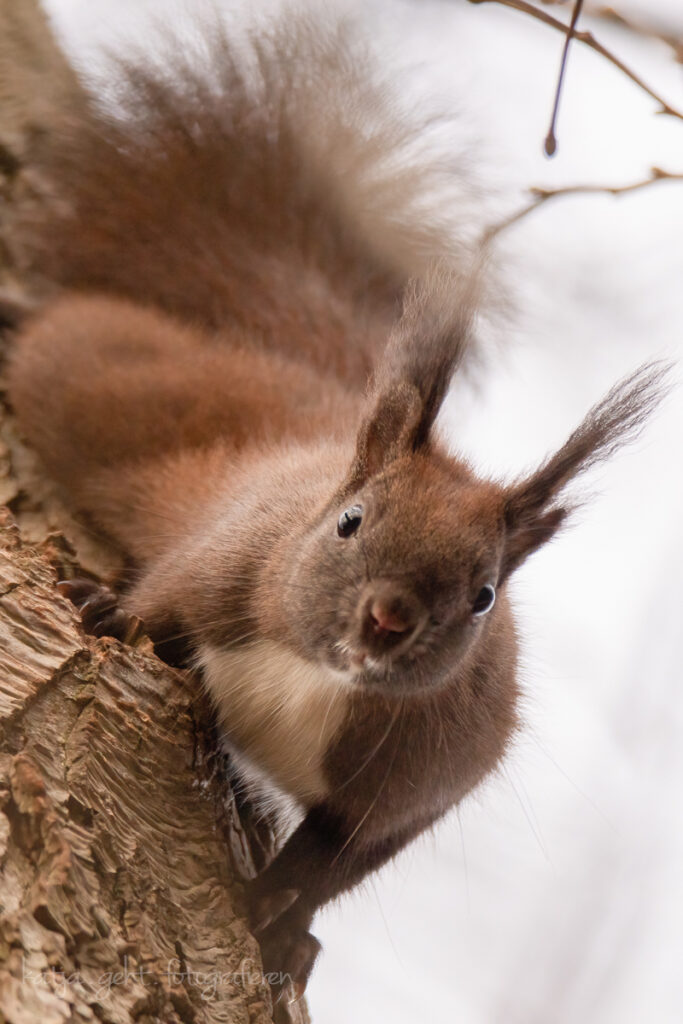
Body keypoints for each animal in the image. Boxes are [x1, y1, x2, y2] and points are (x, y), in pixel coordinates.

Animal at [5, 5, 667, 1003]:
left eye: (483, 594)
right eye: (350, 523)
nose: (389, 618)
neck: (317, 674)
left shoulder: (420, 780)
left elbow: (334, 863)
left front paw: (281, 922)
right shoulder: (226, 558)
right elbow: (162, 600)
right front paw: (106, 610)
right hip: (104, 384)